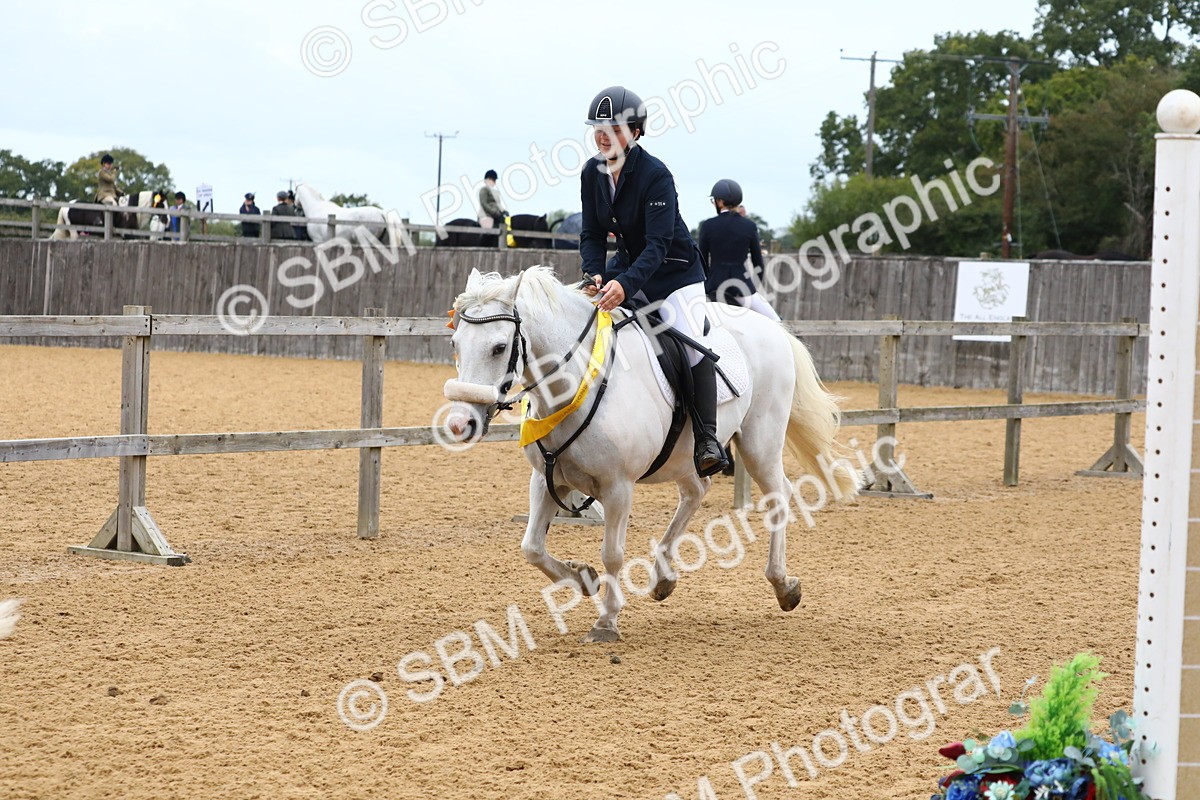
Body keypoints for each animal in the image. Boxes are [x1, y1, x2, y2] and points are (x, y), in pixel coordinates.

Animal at [443, 267, 858, 642]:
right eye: (456, 344)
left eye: (499, 347)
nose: (462, 423)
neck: (578, 382)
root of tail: (773, 329)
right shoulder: (546, 479)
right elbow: (531, 547)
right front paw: (583, 580)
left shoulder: (618, 487)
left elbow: (612, 553)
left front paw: (606, 621)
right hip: (687, 455)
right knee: (696, 492)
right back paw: (663, 578)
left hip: (760, 442)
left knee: (778, 496)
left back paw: (783, 585)